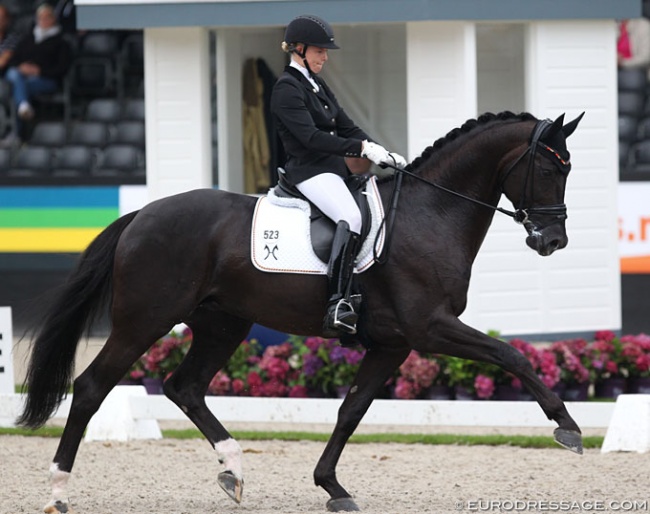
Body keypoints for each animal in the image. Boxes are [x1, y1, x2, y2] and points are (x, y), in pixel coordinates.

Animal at [17, 110, 584, 510]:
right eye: (547, 168)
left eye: (568, 169)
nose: (553, 240)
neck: (430, 215)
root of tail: (140, 215)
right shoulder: (430, 329)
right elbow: (512, 355)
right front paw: (567, 427)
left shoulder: (394, 344)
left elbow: (352, 409)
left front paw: (332, 486)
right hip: (145, 321)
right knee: (92, 387)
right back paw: (59, 492)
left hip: (223, 323)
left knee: (185, 387)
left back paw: (234, 469)